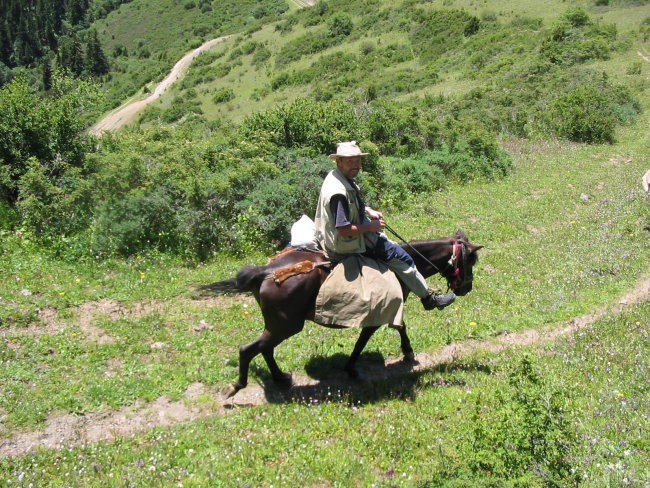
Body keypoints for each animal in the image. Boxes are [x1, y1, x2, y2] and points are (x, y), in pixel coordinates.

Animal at [206, 231, 480, 398]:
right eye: (471, 261)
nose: (466, 288)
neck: (402, 266)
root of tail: (265, 272)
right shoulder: (380, 313)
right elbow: (366, 340)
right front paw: (351, 368)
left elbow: (399, 327)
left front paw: (407, 351)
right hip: (285, 326)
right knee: (249, 349)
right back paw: (237, 385)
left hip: (277, 326)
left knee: (265, 348)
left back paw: (280, 377)